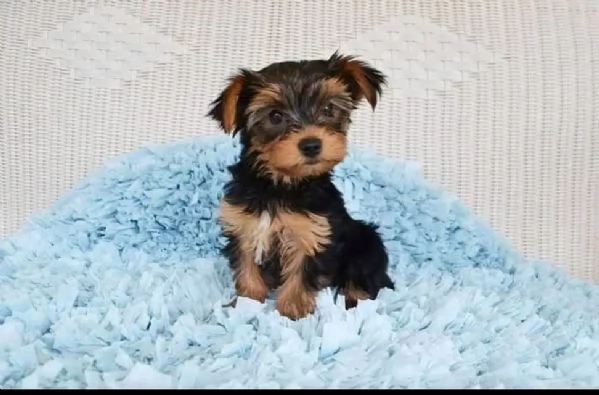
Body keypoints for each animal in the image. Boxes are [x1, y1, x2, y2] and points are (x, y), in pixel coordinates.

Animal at [209, 51, 396, 322]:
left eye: (328, 109)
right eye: (275, 116)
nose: (311, 145)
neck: (280, 185)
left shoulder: (312, 232)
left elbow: (302, 271)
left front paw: (293, 309)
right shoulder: (243, 226)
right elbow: (246, 267)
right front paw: (246, 302)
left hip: (366, 243)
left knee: (364, 279)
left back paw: (353, 302)